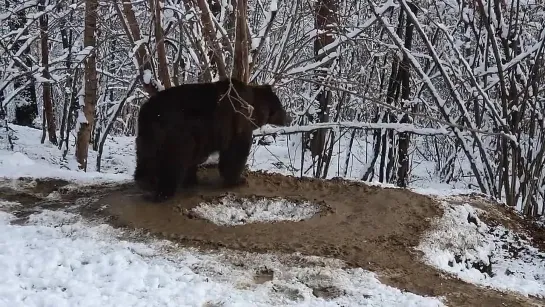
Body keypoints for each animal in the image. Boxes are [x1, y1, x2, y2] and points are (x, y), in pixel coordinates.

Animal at [132, 77, 288, 202]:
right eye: (280, 105)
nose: (288, 118)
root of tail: (147, 112)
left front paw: (191, 179)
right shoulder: (236, 123)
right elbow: (235, 152)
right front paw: (238, 180)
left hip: (148, 137)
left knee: (146, 158)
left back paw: (146, 183)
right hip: (175, 134)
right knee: (173, 161)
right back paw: (163, 192)